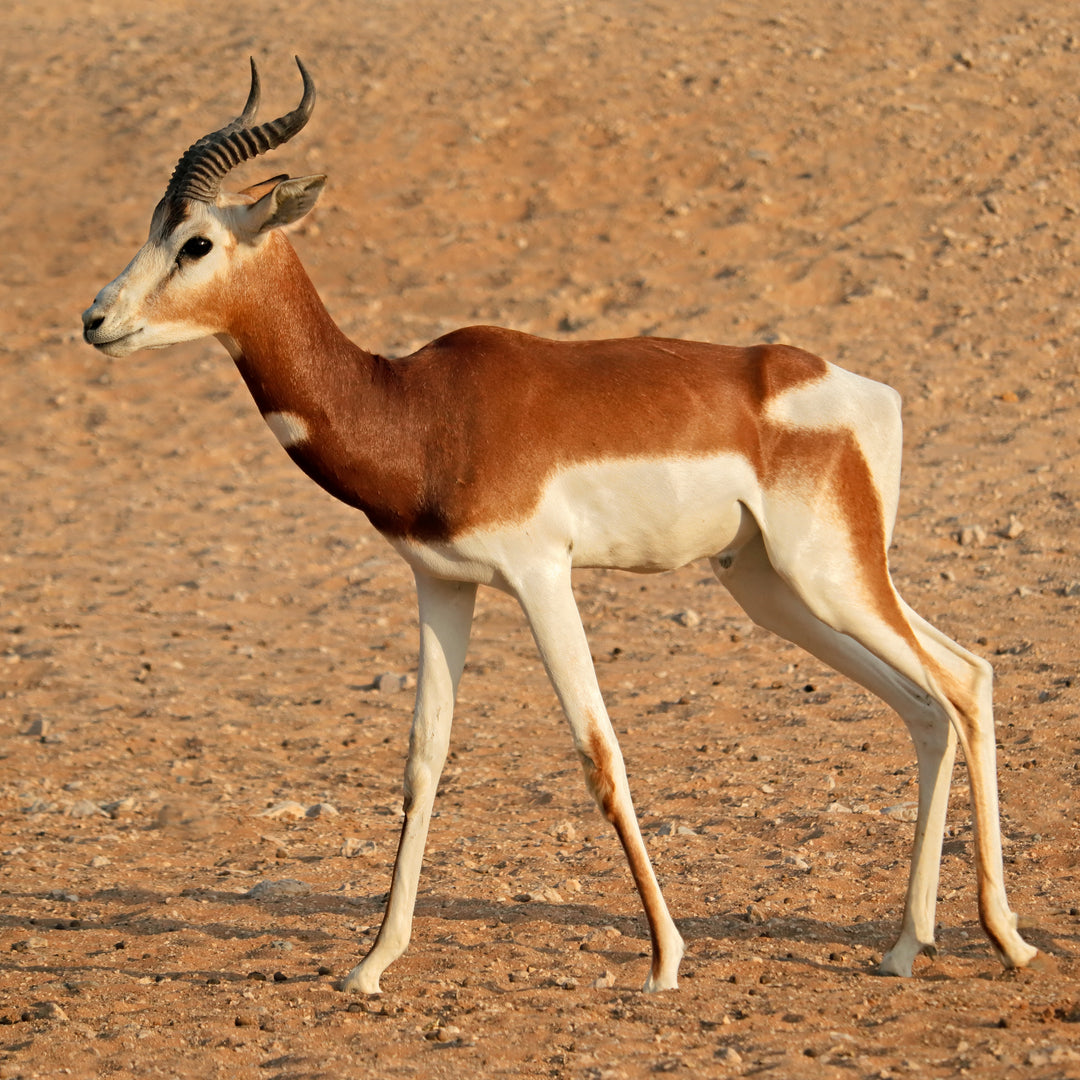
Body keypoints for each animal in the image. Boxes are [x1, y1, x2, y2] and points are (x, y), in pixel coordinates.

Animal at [82, 57, 1042, 994]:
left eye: (197, 241)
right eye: (153, 227)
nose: (96, 319)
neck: (414, 409)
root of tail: (865, 391)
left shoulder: (542, 576)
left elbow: (598, 752)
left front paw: (665, 960)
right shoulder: (441, 583)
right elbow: (423, 759)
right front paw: (373, 962)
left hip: (831, 575)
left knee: (954, 684)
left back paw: (1005, 940)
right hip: (778, 588)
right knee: (940, 693)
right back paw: (914, 945)